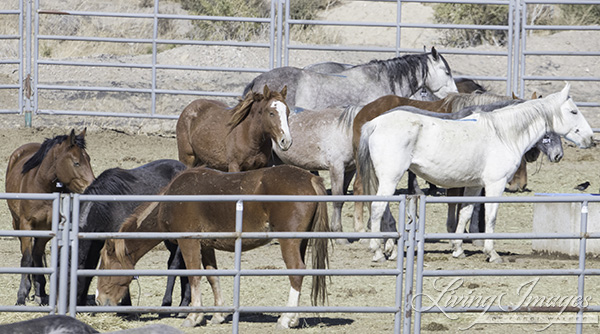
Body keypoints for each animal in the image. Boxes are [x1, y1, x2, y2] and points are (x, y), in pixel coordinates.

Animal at [5, 130, 95, 306]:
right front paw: (21, 296)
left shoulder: (49, 228)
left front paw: (41, 292)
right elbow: (26, 258)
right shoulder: (26, 225)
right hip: (16, 223)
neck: (41, 185)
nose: (92, 186)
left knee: (36, 255)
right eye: (76, 162)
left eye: (88, 159)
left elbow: (38, 256)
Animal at [97, 165, 332, 328]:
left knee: (296, 272)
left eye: (105, 268)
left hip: (289, 241)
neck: (173, 199)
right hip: (300, 242)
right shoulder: (206, 246)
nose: (100, 300)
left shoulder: (189, 242)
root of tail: (311, 178)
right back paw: (294, 319)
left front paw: (193, 316)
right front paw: (218, 315)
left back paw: (285, 319)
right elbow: (212, 277)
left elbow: (194, 277)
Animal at [356, 82, 596, 262]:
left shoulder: (474, 185)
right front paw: (492, 253)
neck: (502, 134)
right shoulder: (495, 184)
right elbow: (490, 216)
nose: (590, 138)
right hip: (390, 178)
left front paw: (458, 249)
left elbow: (465, 213)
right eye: (574, 111)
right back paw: (378, 251)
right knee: (377, 208)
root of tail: (374, 123)